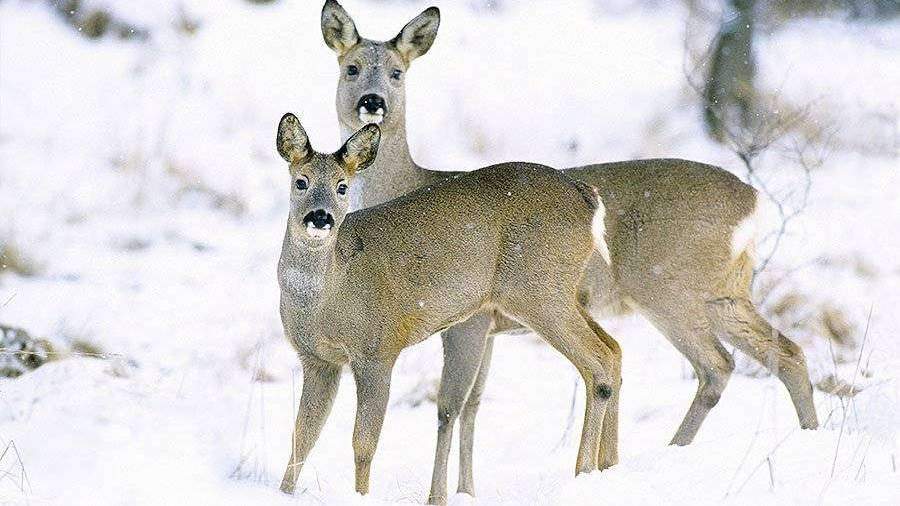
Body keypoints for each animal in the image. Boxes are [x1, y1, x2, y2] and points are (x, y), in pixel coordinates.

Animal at [278, 112, 624, 500]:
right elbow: (301, 436)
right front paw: (283, 492)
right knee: (614, 347)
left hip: (539, 290)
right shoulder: (317, 360)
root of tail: (586, 196)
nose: (321, 217)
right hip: (557, 293)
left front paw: (361, 497)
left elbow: (363, 443)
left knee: (599, 360)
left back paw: (583, 472)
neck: (325, 299)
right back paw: (605, 466)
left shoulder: (378, 350)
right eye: (301, 182)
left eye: (342, 187)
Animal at [320, 0, 820, 502]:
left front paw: (442, 495)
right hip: (724, 292)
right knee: (786, 353)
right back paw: (802, 438)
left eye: (398, 72)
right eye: (351, 67)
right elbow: (475, 406)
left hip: (663, 288)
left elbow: (450, 405)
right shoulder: (491, 328)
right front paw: (467, 491)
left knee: (711, 364)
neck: (407, 184)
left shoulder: (468, 318)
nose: (373, 102)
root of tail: (753, 202)